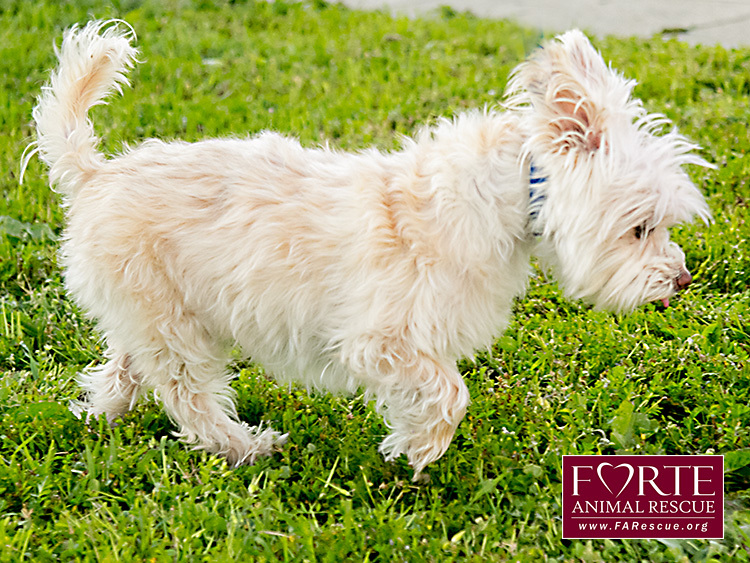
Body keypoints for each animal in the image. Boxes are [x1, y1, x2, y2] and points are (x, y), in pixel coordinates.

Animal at [27, 23, 712, 480]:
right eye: (641, 228)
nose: (679, 281)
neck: (510, 193)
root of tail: (95, 174)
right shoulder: (382, 340)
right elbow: (448, 391)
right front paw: (416, 449)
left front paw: (413, 442)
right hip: (174, 325)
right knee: (187, 396)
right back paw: (242, 446)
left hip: (159, 315)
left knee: (124, 369)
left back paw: (101, 415)